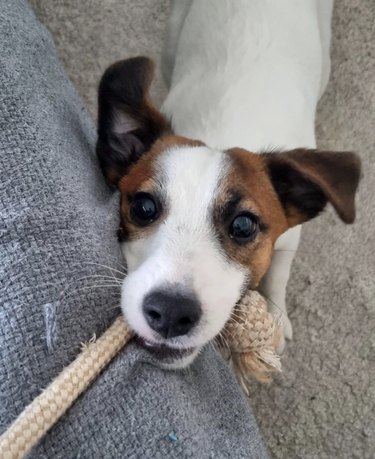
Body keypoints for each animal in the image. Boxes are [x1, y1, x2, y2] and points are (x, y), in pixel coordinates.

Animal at [96, 0, 362, 368]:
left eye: (243, 225)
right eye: (143, 207)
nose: (170, 313)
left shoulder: (291, 237)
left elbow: (279, 272)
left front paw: (277, 316)